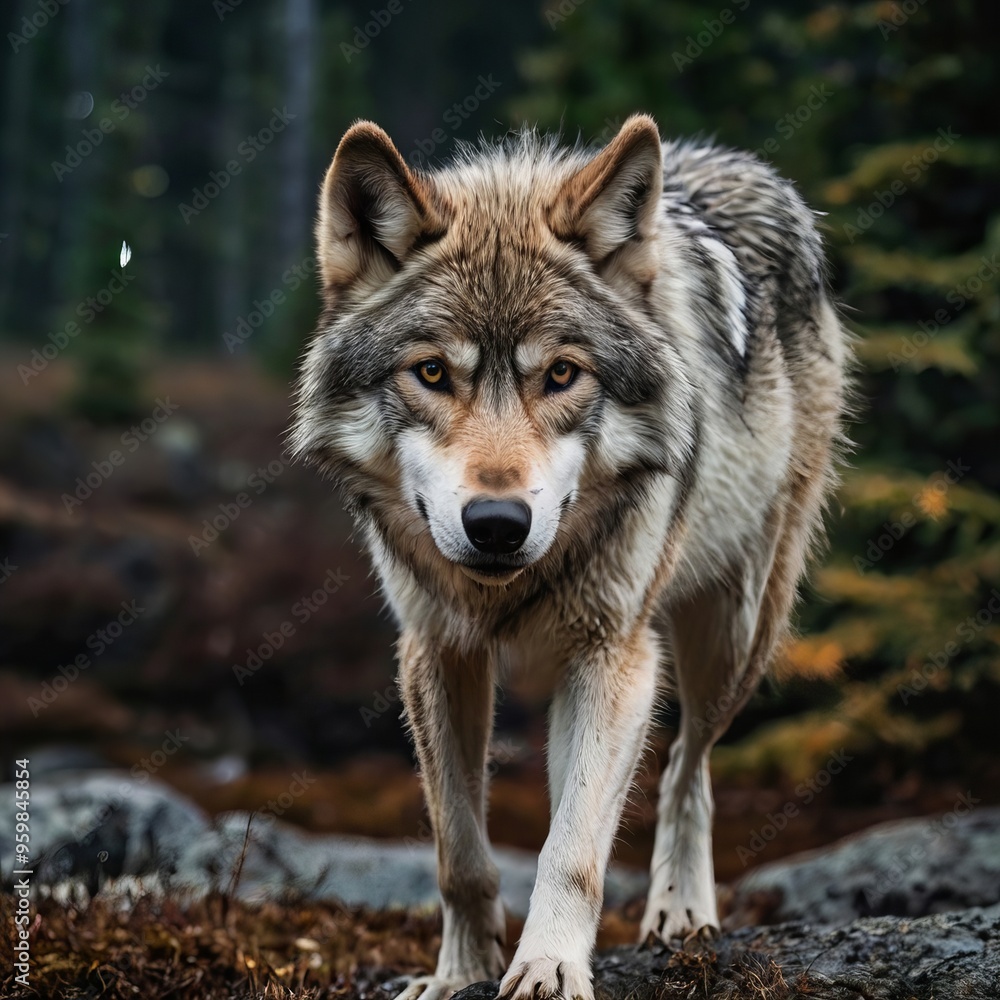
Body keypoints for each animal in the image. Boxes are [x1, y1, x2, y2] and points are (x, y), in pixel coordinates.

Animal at [291, 113, 848, 1000]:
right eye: (431, 372)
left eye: (561, 374)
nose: (496, 524)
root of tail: (739, 161)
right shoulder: (434, 651)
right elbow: (459, 847)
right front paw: (459, 972)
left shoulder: (613, 654)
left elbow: (572, 848)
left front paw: (549, 966)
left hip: (732, 633)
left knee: (688, 762)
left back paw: (680, 912)